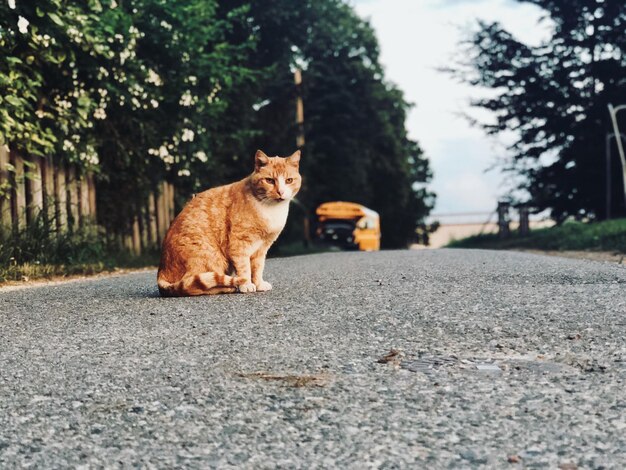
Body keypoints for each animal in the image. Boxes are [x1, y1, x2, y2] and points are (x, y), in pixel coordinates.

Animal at [157, 149, 302, 296]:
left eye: (289, 180)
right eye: (269, 180)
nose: (280, 192)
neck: (271, 210)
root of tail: (161, 273)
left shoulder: (262, 248)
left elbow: (258, 268)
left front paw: (259, 284)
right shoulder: (239, 244)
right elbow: (244, 268)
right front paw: (246, 284)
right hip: (210, 256)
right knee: (193, 285)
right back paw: (228, 287)